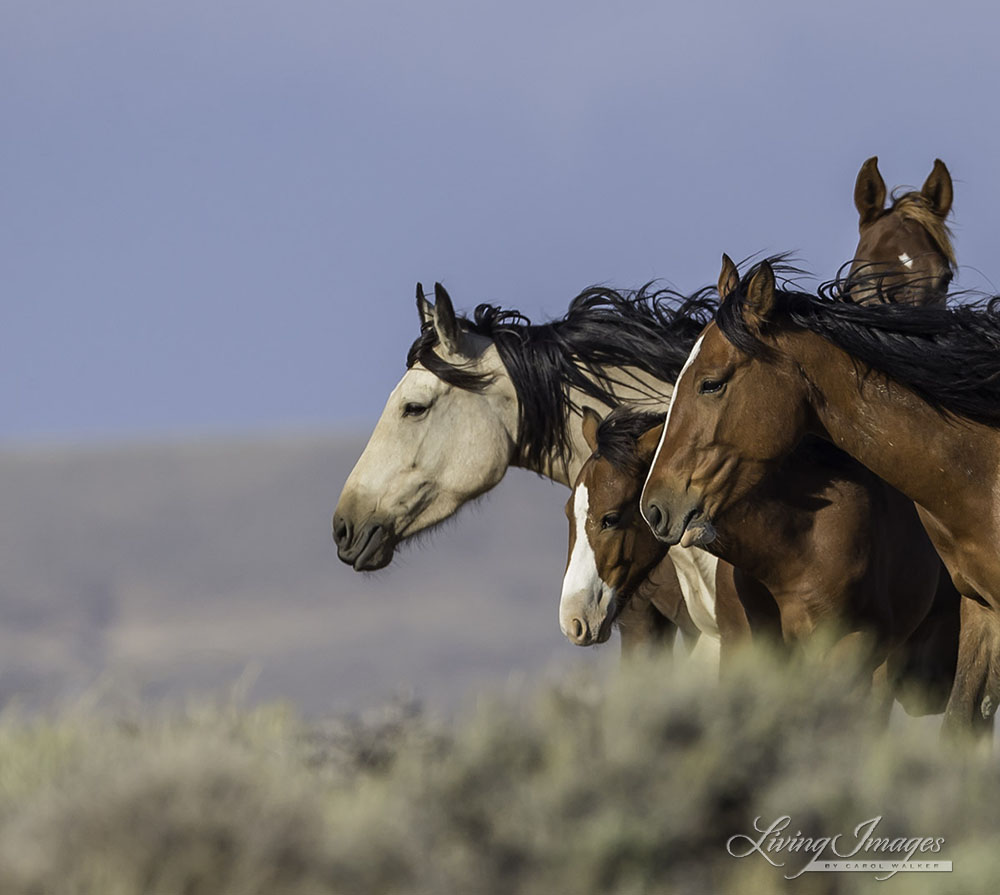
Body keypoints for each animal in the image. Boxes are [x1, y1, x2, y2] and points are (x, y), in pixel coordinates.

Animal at [564, 406, 960, 712]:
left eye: (610, 517)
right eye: (569, 511)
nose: (574, 620)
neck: (798, 545)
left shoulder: (849, 652)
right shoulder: (743, 647)